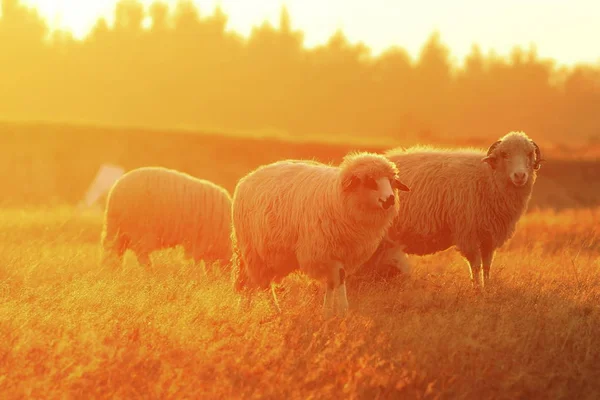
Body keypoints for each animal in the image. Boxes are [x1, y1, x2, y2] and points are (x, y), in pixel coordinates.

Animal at [101, 166, 232, 272]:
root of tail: (115, 193)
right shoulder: (203, 243)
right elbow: (203, 264)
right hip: (140, 231)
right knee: (140, 254)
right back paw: (150, 271)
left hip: (118, 230)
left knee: (113, 251)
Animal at [230, 152, 408, 318]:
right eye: (370, 181)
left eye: (391, 180)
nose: (390, 199)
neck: (338, 199)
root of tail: (246, 179)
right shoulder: (325, 253)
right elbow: (338, 279)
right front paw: (342, 310)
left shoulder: (342, 254)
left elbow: (333, 282)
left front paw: (329, 312)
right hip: (254, 252)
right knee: (262, 284)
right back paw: (274, 311)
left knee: (249, 283)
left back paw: (245, 310)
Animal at [360, 130, 544, 288]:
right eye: (505, 154)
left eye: (530, 154)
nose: (520, 176)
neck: (488, 178)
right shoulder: (468, 233)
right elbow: (475, 266)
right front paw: (476, 289)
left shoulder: (488, 236)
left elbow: (487, 266)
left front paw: (487, 288)